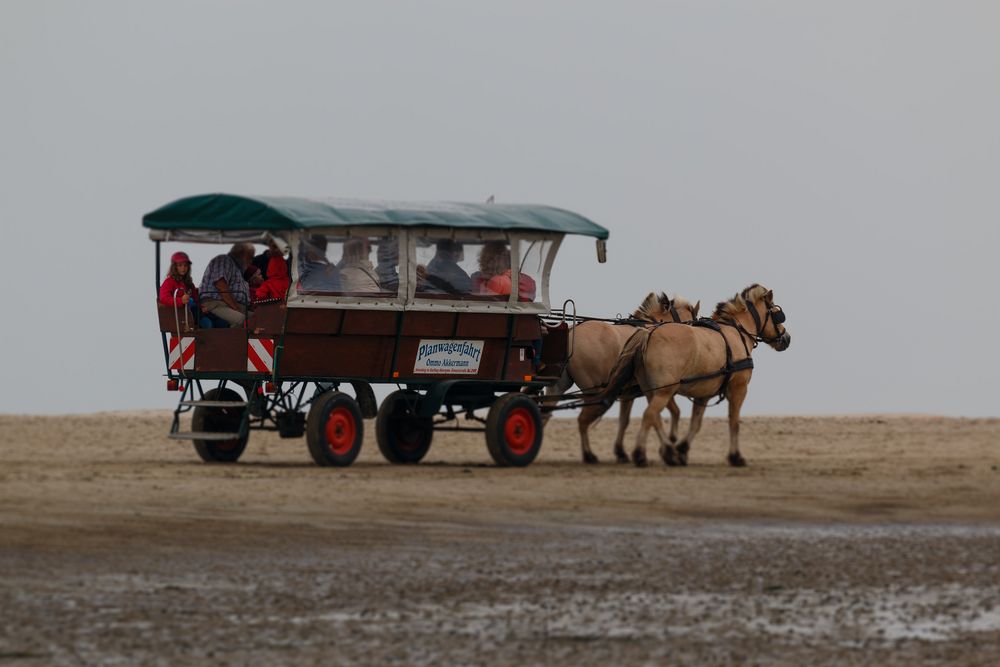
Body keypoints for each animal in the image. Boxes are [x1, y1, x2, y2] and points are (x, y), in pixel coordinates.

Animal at [544, 292, 700, 464]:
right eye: (691, 323)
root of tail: (572, 332)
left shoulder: (629, 393)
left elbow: (624, 420)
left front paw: (621, 451)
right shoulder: (659, 388)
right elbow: (666, 413)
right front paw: (668, 446)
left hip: (557, 387)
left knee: (545, 413)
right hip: (593, 391)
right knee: (583, 420)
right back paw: (589, 454)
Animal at [592, 284, 788, 468]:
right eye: (777, 313)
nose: (787, 338)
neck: (736, 332)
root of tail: (649, 333)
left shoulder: (704, 392)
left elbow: (696, 423)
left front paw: (682, 449)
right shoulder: (738, 388)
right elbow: (734, 421)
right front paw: (736, 456)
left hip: (652, 391)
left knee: (654, 417)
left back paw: (668, 452)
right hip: (664, 391)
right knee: (649, 415)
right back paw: (641, 454)